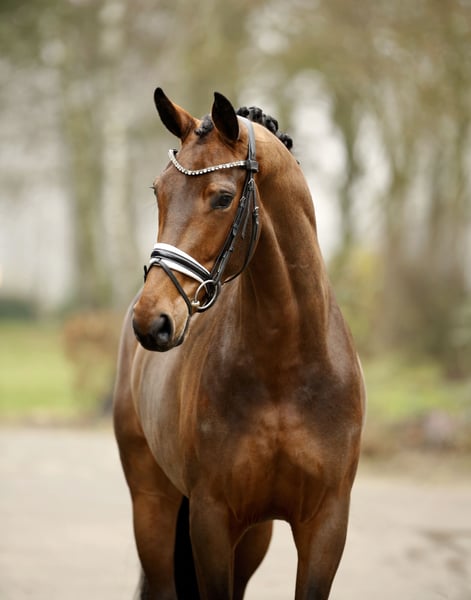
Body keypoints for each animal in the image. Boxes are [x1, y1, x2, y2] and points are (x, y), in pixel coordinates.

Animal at [113, 87, 365, 600]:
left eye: (223, 198)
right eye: (158, 192)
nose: (152, 322)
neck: (286, 364)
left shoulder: (325, 524)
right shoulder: (211, 519)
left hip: (254, 535)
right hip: (153, 503)